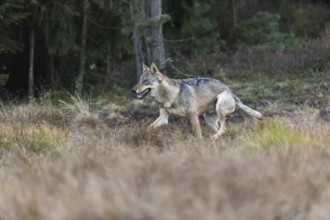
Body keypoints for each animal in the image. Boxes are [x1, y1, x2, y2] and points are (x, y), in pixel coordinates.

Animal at [132, 62, 262, 140]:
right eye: (139, 80)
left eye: (145, 81)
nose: (132, 90)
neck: (171, 95)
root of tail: (230, 91)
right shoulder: (163, 118)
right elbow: (148, 127)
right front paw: (140, 134)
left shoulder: (193, 115)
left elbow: (198, 134)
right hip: (208, 119)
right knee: (224, 129)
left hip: (219, 107)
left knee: (224, 128)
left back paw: (213, 138)